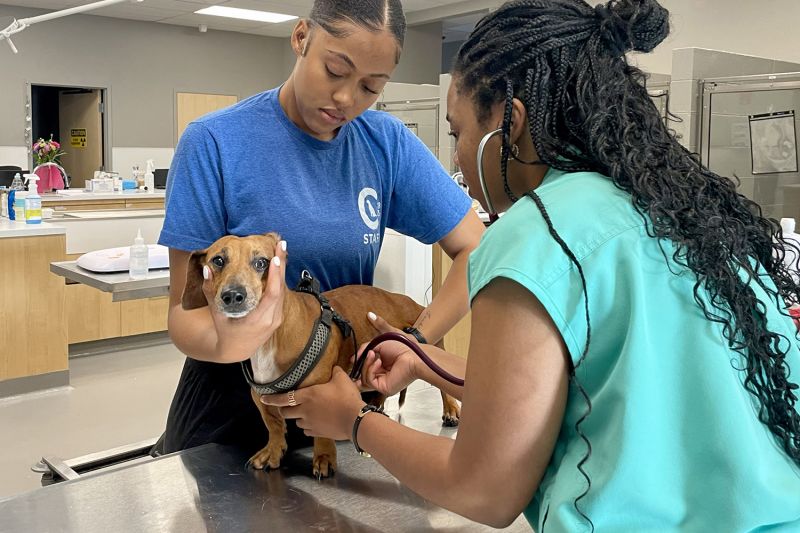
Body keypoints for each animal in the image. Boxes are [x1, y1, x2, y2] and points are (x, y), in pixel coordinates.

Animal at [179, 231, 460, 476]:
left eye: (261, 263)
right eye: (218, 260)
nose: (233, 295)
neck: (270, 339)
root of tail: (409, 301)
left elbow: (322, 432)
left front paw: (324, 457)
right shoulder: (259, 395)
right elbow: (273, 424)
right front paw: (273, 452)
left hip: (430, 349)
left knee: (442, 385)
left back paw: (451, 410)